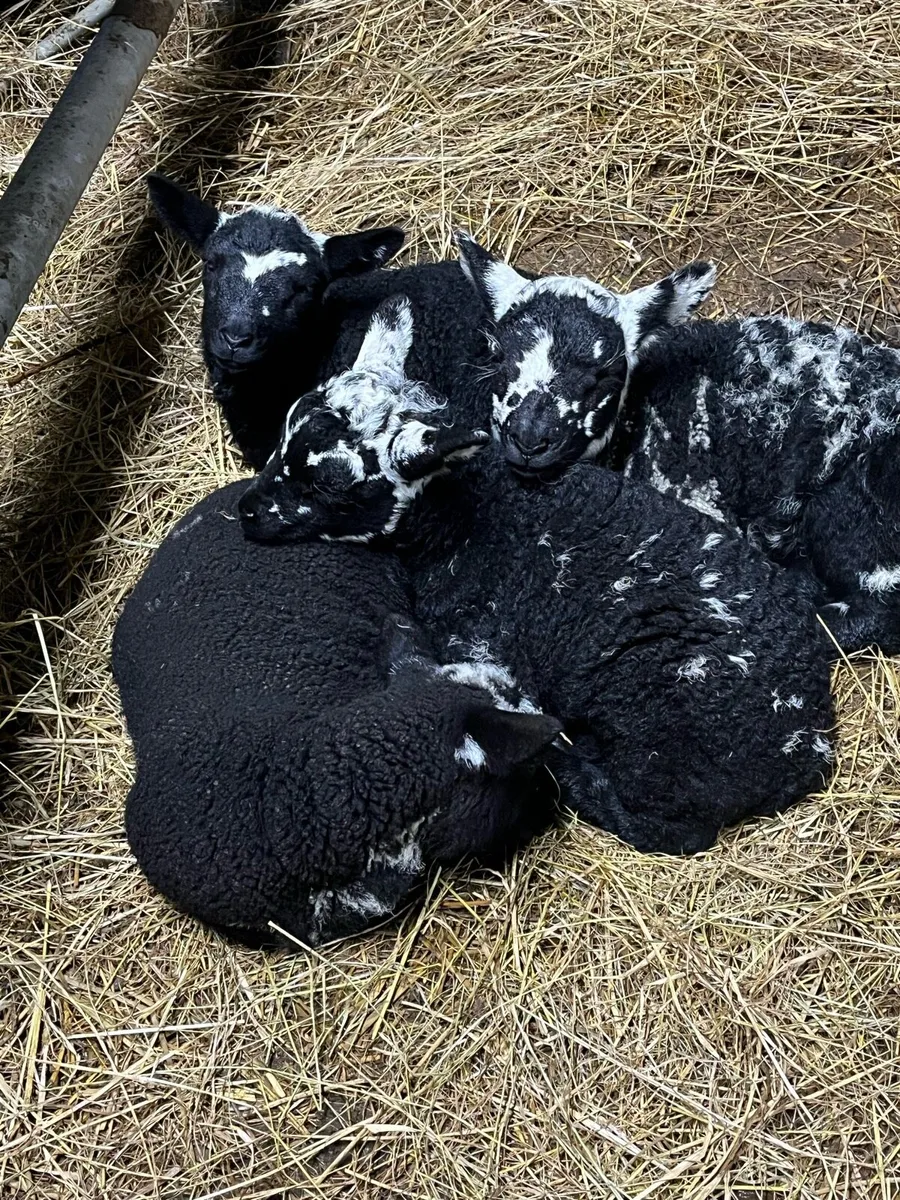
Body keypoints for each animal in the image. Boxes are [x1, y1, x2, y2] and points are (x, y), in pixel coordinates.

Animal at [239, 297, 837, 857]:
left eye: (330, 487)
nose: (247, 512)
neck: (468, 511)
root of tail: (808, 742)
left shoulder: (483, 647)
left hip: (663, 724)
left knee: (666, 824)